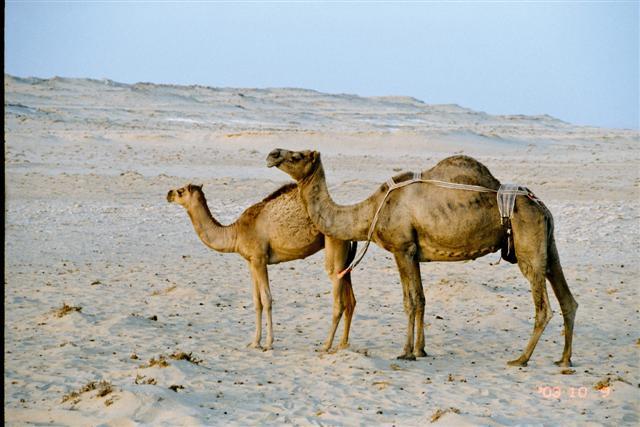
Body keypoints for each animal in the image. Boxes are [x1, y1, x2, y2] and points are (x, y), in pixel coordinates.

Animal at [167, 183, 357, 351]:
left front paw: (268, 343)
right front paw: (254, 342)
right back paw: (343, 344)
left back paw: (326, 345)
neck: (236, 233)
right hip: (346, 254)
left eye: (181, 191)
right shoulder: (251, 261)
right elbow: (256, 301)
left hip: (335, 243)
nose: (168, 194)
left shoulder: (260, 259)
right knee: (351, 299)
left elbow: (267, 299)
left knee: (338, 297)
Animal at [266, 149, 578, 366]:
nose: (272, 154)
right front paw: (421, 349)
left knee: (543, 306)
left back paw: (521, 359)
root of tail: (541, 206)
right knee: (567, 299)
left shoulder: (402, 248)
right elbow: (422, 298)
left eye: (297, 155)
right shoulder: (414, 253)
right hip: (548, 245)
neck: (373, 209)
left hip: (528, 247)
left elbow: (410, 301)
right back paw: (563, 359)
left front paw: (406, 352)